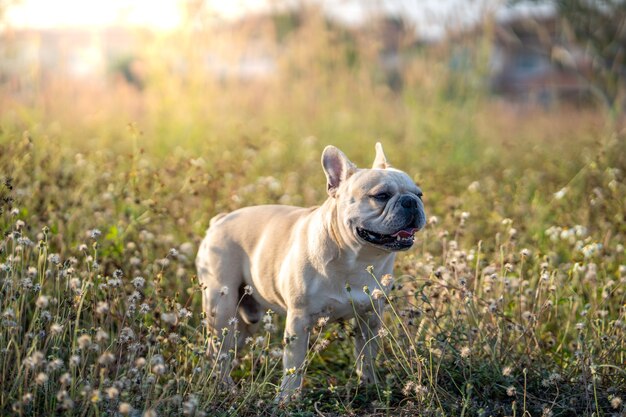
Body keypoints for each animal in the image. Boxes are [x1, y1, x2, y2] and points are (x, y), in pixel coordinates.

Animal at [196, 142, 424, 400]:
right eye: (381, 196)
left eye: (419, 194)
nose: (411, 202)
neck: (357, 258)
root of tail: (219, 220)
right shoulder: (299, 319)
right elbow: (294, 364)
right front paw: (287, 399)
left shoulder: (370, 317)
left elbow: (366, 355)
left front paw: (369, 385)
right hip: (222, 306)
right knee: (218, 351)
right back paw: (225, 387)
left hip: (245, 315)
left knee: (230, 347)